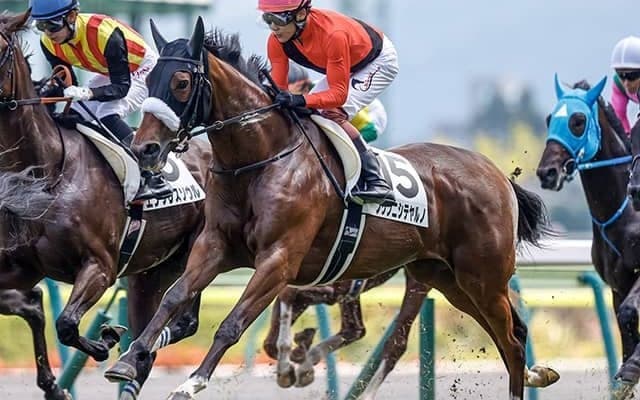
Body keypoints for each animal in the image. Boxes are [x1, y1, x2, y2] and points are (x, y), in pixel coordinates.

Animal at [0, 11, 211, 400]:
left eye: (0, 51)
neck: (49, 169)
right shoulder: (22, 265)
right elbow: (35, 305)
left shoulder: (100, 266)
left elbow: (67, 323)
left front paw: (105, 340)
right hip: (148, 272)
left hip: (196, 252)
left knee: (185, 321)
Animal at [105, 18, 559, 400]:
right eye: (150, 80)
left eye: (181, 82)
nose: (145, 148)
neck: (260, 158)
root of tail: (496, 174)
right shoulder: (216, 245)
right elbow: (173, 297)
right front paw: (128, 360)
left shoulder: (279, 259)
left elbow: (232, 323)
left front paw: (192, 381)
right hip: (445, 277)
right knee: (510, 332)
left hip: (481, 275)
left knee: (508, 339)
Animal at [536, 76, 640, 400]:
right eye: (549, 119)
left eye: (578, 121)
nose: (547, 172)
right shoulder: (618, 285)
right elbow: (625, 323)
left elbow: (631, 313)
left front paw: (632, 368)